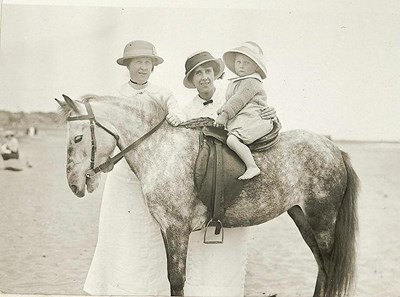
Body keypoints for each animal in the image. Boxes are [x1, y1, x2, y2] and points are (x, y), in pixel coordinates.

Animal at [56, 94, 360, 296]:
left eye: (78, 138)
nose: (73, 184)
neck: (163, 150)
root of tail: (333, 148)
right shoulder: (168, 229)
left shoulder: (176, 229)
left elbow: (177, 280)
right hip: (303, 218)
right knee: (322, 267)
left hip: (322, 222)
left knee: (328, 266)